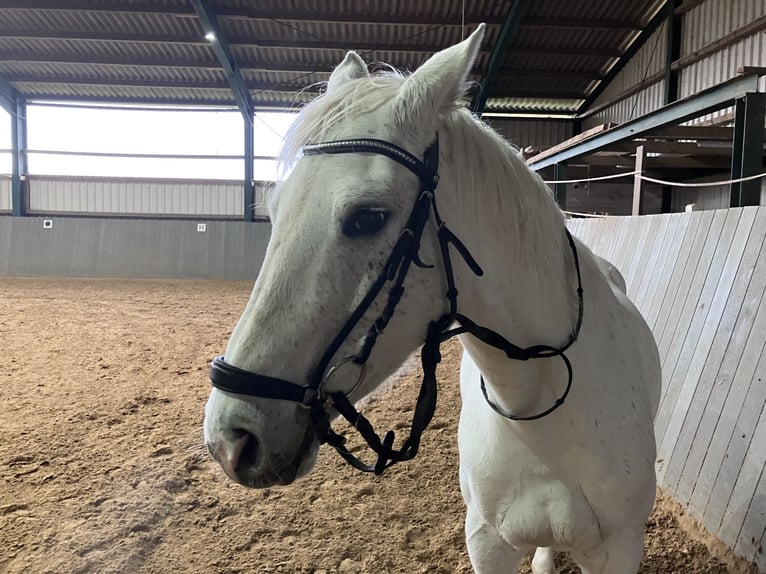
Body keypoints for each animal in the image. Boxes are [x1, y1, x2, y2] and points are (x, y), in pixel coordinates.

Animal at [207, 25, 664, 574]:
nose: (230, 439)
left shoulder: (619, 549)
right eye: (274, 213)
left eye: (367, 217)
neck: (540, 409)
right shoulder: (487, 543)